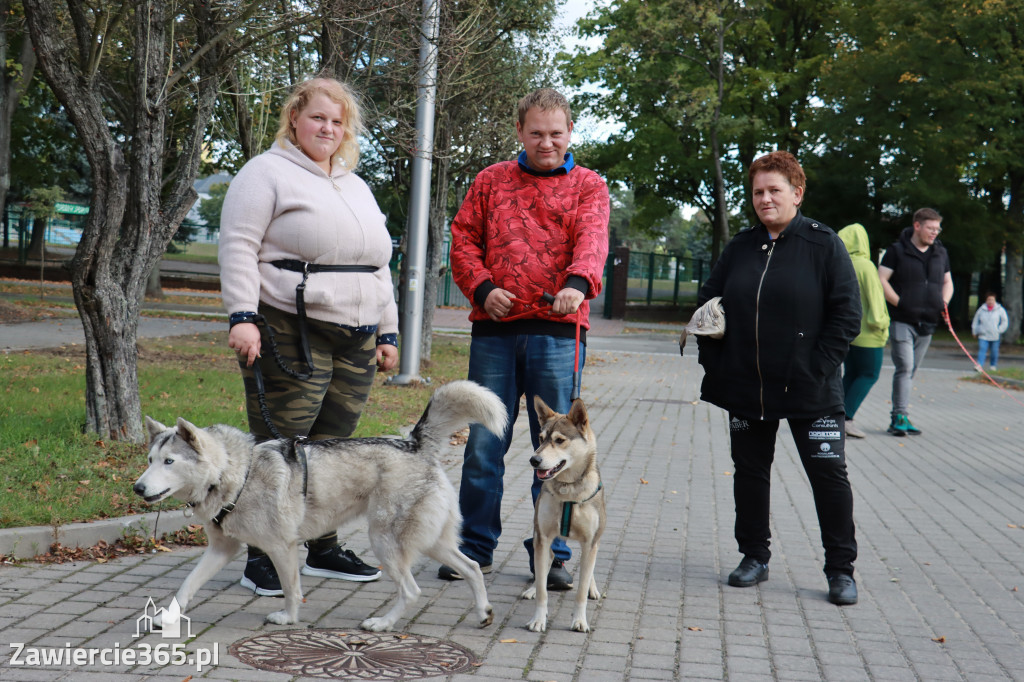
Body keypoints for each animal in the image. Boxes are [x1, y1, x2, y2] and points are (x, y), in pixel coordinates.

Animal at [524, 395, 602, 630]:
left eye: (559, 440)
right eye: (540, 438)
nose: (534, 460)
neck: (568, 491)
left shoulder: (590, 542)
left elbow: (581, 591)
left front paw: (579, 620)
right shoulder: (543, 537)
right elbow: (543, 589)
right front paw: (538, 619)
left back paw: (593, 588)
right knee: (546, 562)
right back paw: (531, 588)